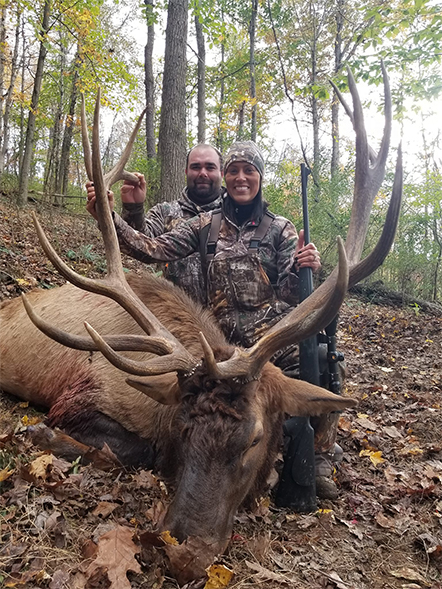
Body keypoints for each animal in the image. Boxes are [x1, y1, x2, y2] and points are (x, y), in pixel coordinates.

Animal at [0, 68, 400, 564]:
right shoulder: (79, 397)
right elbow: (134, 451)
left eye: (254, 438)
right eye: (183, 428)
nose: (184, 553)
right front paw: (43, 437)